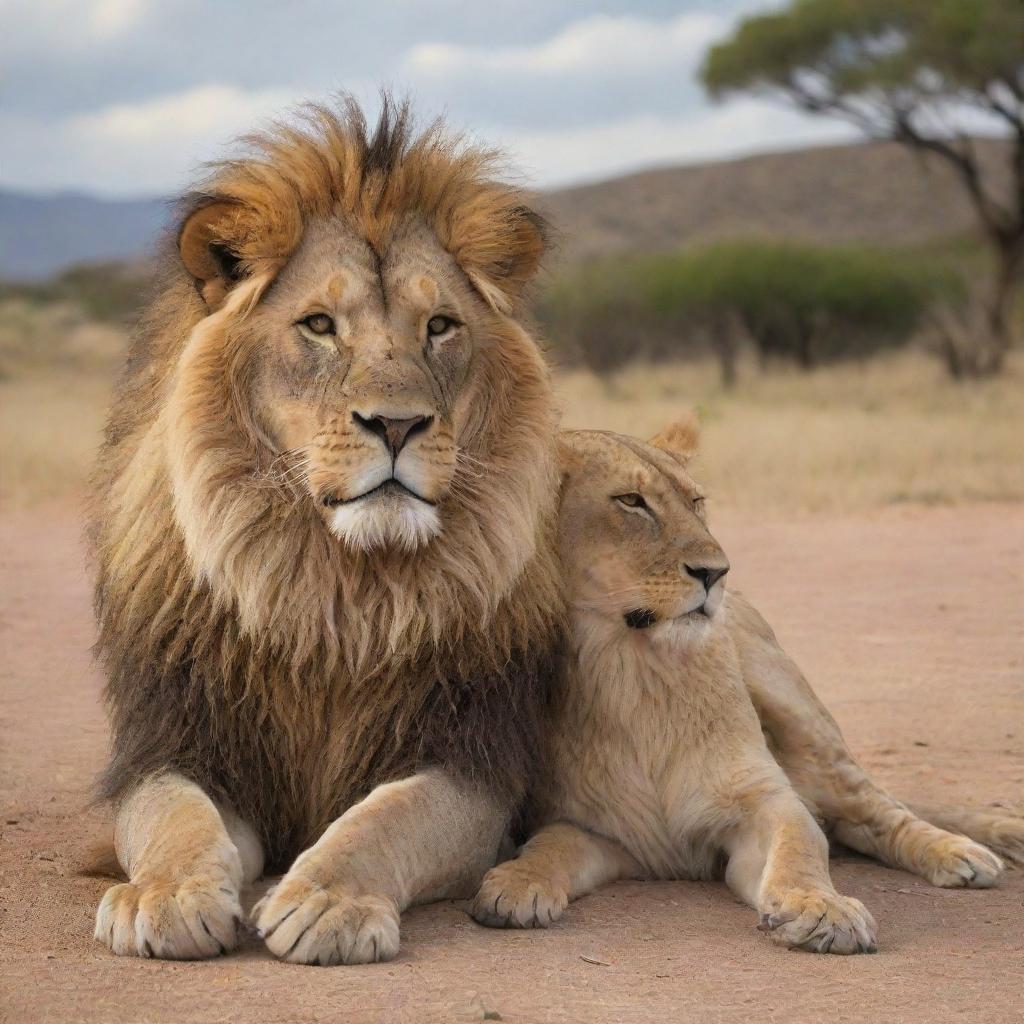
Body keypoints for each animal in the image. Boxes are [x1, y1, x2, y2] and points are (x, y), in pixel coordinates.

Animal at [90, 99, 569, 962]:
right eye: (318, 325)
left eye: (440, 326)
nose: (399, 425)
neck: (337, 591)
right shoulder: (174, 742)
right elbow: (175, 817)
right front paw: (164, 896)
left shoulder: (470, 759)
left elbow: (388, 817)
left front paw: (326, 900)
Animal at [473, 415, 1024, 950]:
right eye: (631, 501)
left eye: (696, 502)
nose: (717, 573)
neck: (637, 673)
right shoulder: (600, 831)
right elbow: (548, 846)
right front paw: (513, 886)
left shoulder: (762, 800)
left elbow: (801, 844)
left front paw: (823, 910)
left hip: (797, 711)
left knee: (878, 808)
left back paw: (961, 853)